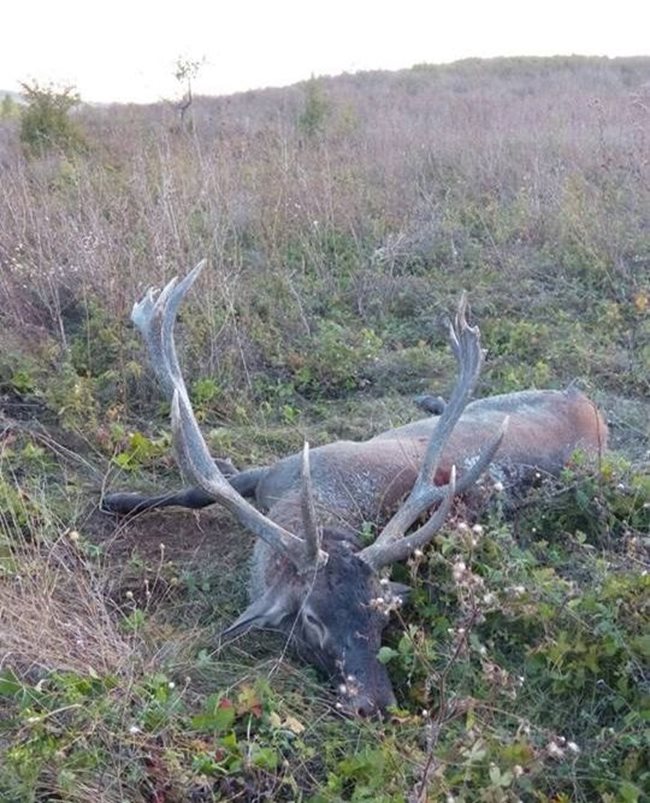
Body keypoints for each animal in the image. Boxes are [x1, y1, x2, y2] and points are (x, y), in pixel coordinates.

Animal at [98, 260, 604, 716]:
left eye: (384, 616)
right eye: (311, 618)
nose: (374, 705)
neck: (317, 506)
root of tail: (588, 404)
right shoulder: (277, 470)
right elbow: (199, 489)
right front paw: (116, 500)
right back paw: (432, 399)